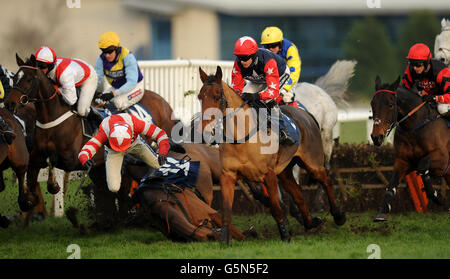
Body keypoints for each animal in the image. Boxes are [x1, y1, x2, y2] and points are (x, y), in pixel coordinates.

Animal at [195, 66, 346, 244]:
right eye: (200, 97)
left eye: (217, 96)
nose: (204, 131)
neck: (242, 137)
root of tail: (306, 115)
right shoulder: (229, 174)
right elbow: (226, 208)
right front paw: (224, 238)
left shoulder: (268, 174)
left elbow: (276, 206)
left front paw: (285, 234)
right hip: (286, 169)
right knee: (298, 192)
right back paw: (310, 222)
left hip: (313, 161)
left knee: (326, 179)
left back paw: (338, 216)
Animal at [370, 75, 448, 222]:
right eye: (372, 104)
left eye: (390, 104)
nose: (376, 137)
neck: (414, 128)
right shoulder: (403, 161)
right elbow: (392, 185)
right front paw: (383, 211)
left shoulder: (443, 158)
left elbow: (423, 166)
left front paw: (436, 196)